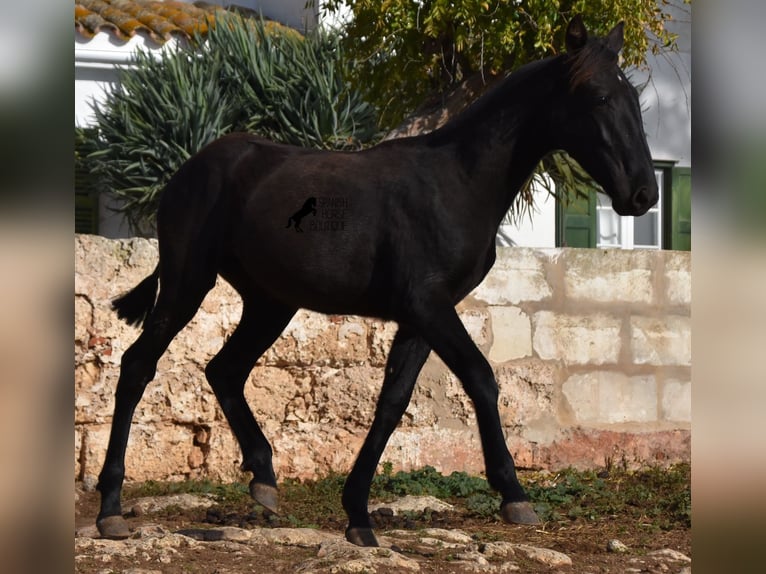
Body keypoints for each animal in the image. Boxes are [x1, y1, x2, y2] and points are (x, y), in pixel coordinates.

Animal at [96, 16, 660, 548]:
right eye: (599, 97)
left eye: (634, 98)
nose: (643, 194)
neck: (457, 182)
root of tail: (190, 168)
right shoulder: (430, 305)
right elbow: (480, 378)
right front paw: (514, 496)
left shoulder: (419, 317)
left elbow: (391, 403)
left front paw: (359, 517)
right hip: (188, 282)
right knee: (138, 366)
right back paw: (111, 508)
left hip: (270, 302)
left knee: (225, 370)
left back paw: (263, 479)